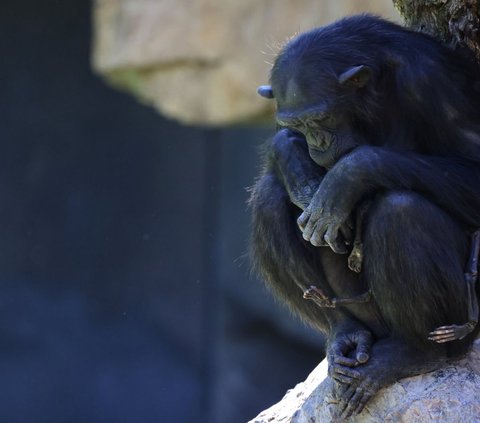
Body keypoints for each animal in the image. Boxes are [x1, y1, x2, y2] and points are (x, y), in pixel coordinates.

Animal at [249, 14, 480, 420]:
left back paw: (415, 354)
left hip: (463, 321)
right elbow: (281, 151)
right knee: (269, 197)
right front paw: (297, 166)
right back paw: (343, 331)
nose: (318, 143)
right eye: (300, 124)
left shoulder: (432, 81)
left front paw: (348, 176)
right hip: (362, 313)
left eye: (321, 117)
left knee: (400, 211)